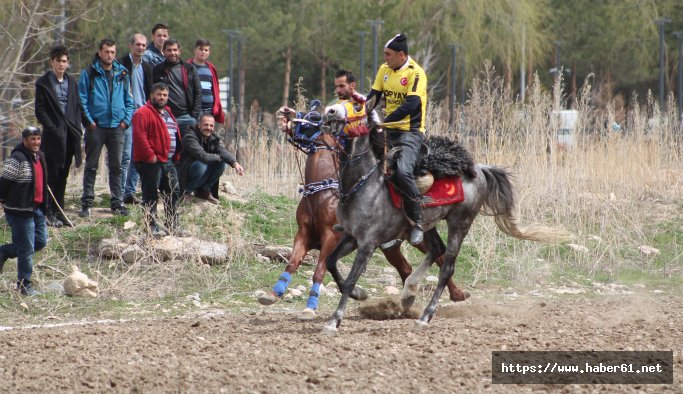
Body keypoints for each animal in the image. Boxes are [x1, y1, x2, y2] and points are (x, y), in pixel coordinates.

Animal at [258, 103, 470, 318]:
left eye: (314, 116)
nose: (285, 115)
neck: (322, 194)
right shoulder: (304, 235)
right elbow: (293, 263)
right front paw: (274, 293)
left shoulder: (331, 237)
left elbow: (320, 269)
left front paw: (311, 306)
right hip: (390, 246)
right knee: (406, 267)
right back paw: (407, 302)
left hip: (416, 237)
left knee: (440, 256)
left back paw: (457, 294)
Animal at [322, 103, 572, 334]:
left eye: (356, 105)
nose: (329, 111)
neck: (364, 184)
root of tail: (478, 169)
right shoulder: (351, 237)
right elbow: (331, 262)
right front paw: (359, 294)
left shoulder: (368, 243)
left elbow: (350, 278)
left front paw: (334, 321)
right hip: (429, 224)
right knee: (436, 249)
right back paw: (408, 293)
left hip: (460, 223)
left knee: (447, 267)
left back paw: (425, 315)